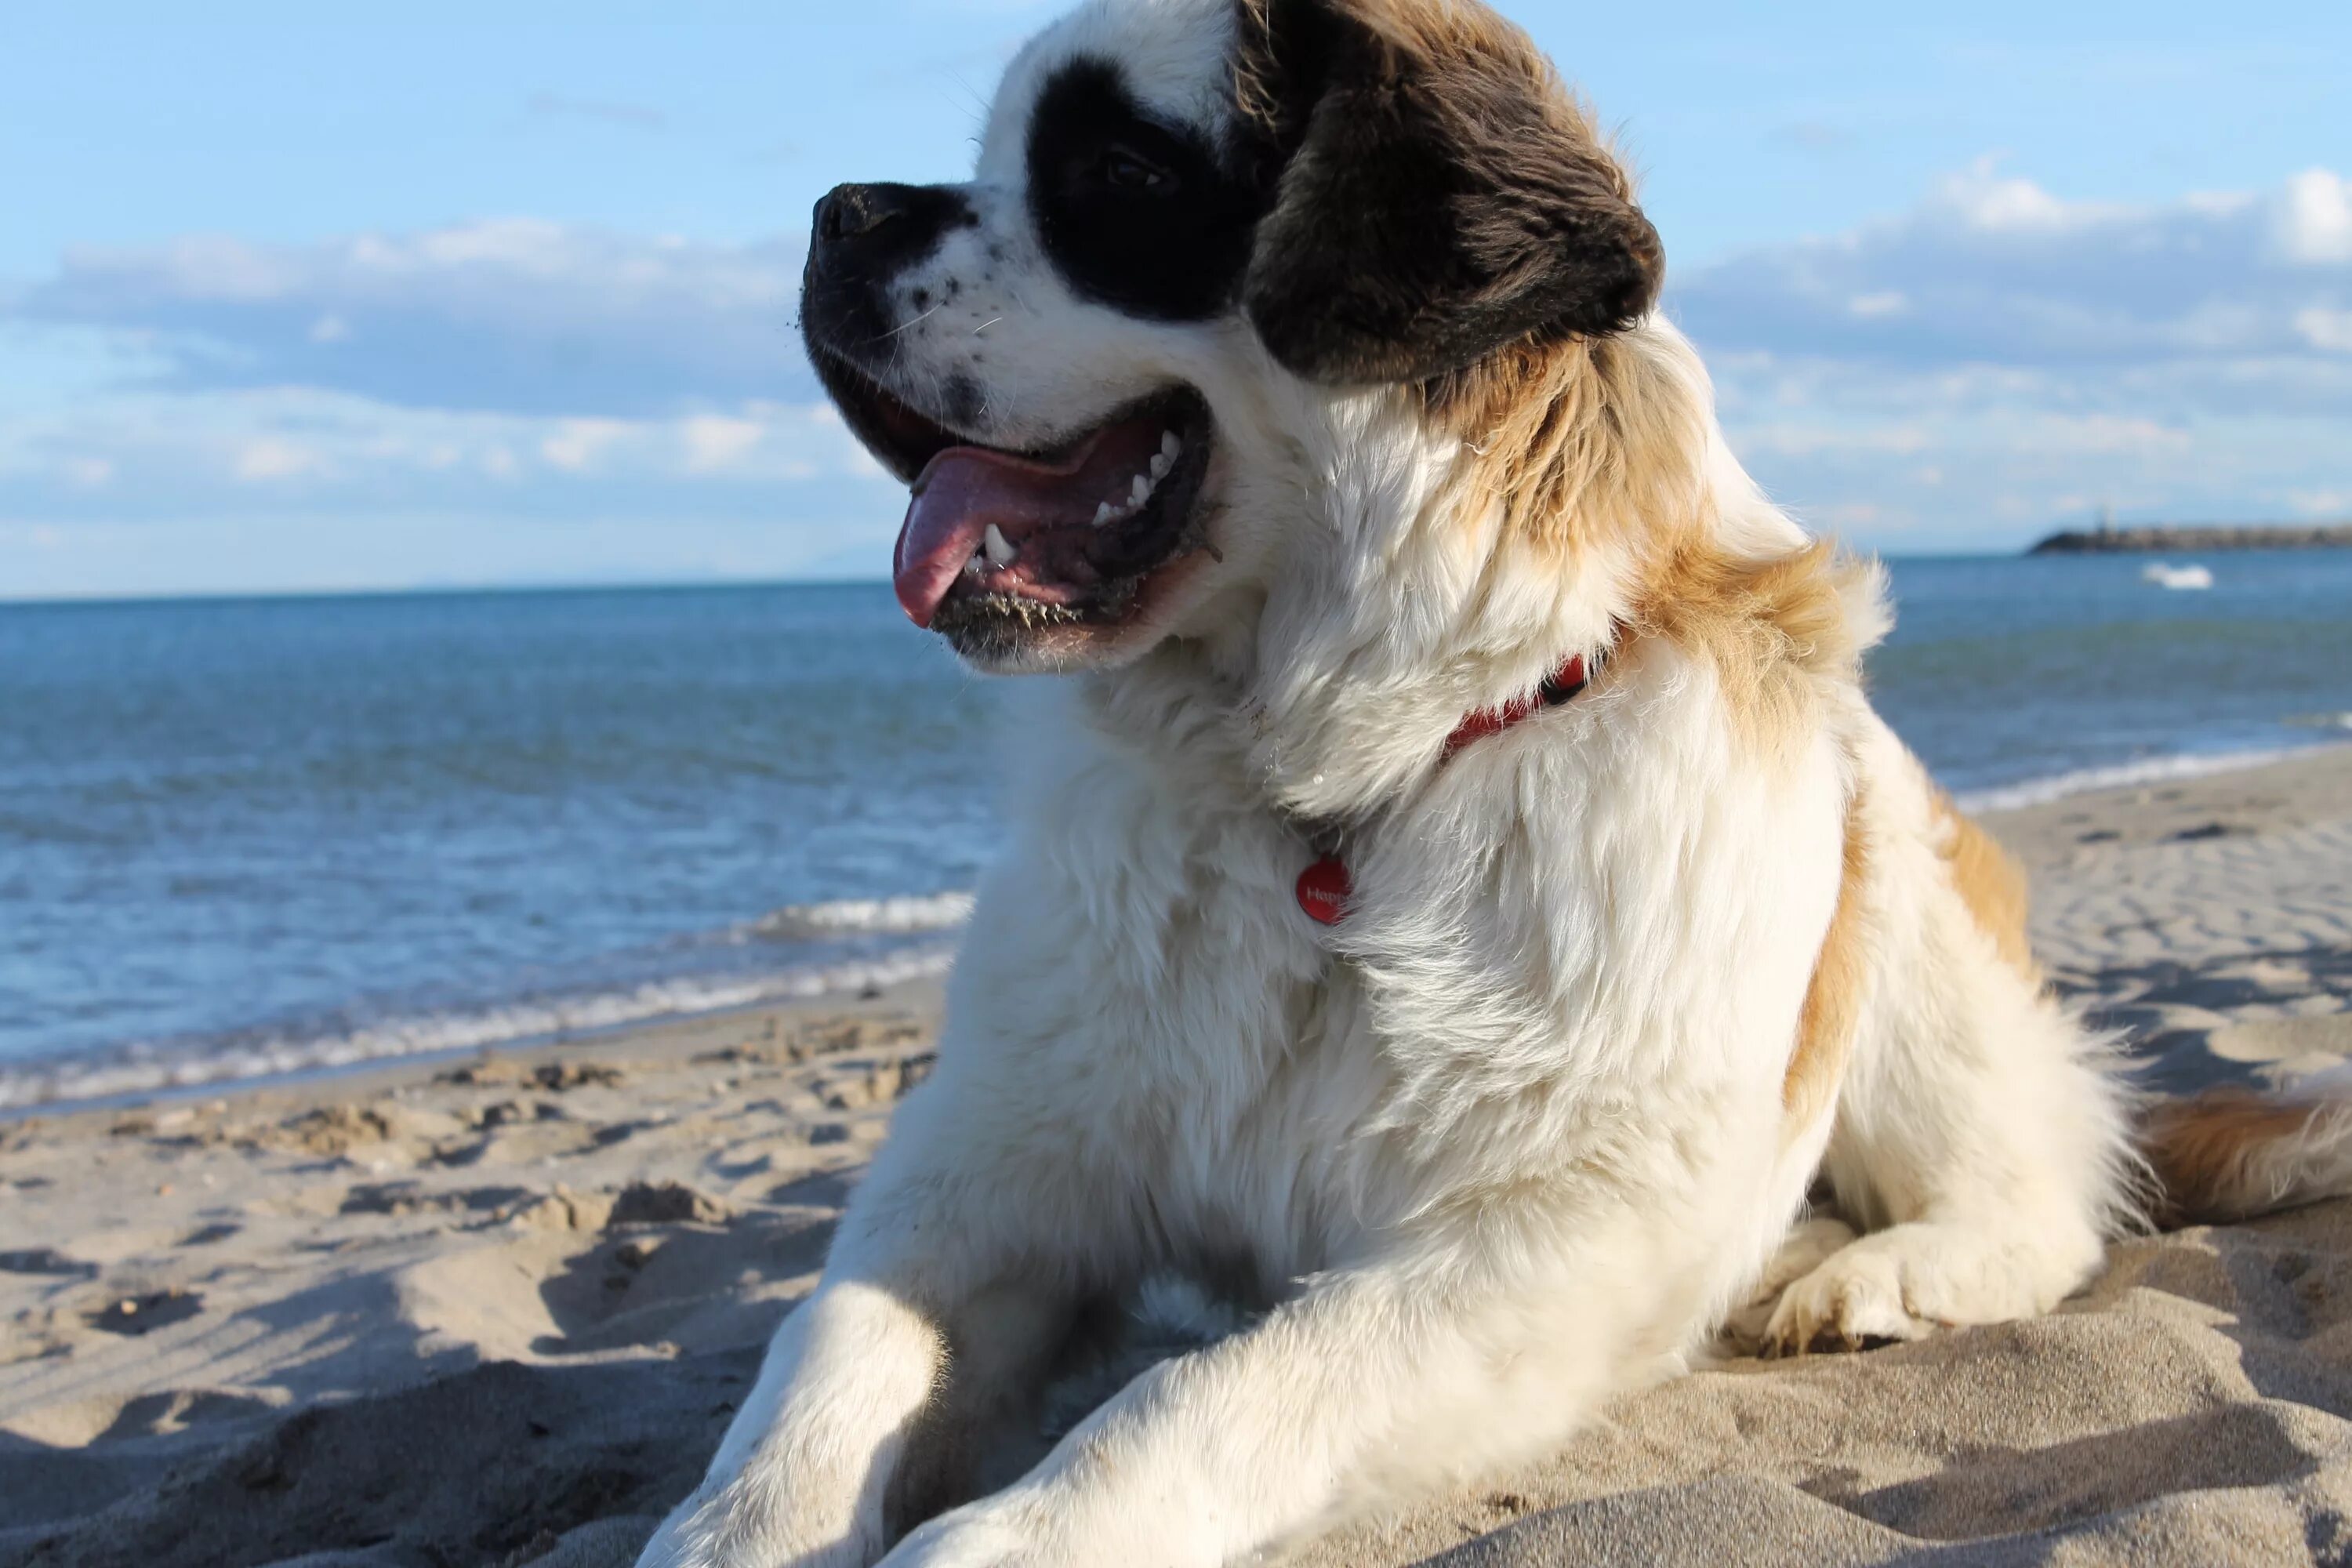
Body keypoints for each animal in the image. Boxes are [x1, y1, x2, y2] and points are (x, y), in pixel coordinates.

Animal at [635, 2, 2352, 1568]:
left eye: (1116, 172)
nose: (836, 214)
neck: (1340, 782)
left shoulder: (1546, 1227)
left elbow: (1216, 1391)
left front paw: (1008, 1537)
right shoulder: (1000, 1143)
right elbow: (834, 1346)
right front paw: (741, 1524)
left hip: (1899, 913)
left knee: (2039, 1191)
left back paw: (1870, 1276)